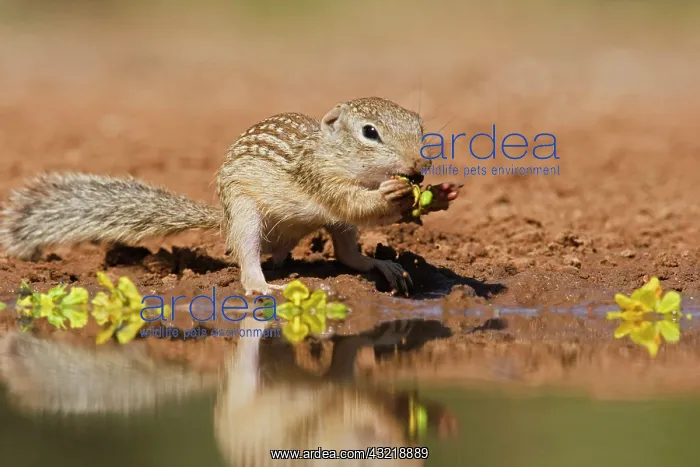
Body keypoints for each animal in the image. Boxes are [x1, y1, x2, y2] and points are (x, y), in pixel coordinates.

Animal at [0, 97, 461, 296]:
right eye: (370, 132)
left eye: (420, 128)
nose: (418, 168)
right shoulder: (321, 180)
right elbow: (355, 203)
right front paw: (394, 192)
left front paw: (440, 193)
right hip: (244, 215)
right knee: (248, 259)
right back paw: (262, 284)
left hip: (333, 228)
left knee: (348, 255)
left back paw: (382, 264)